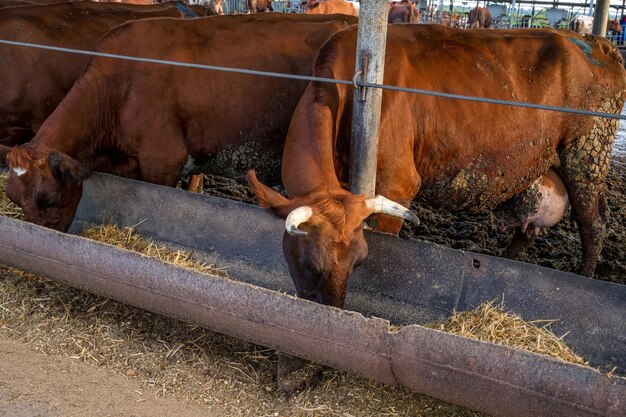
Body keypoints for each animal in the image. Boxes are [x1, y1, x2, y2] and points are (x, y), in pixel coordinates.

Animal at [247, 23, 624, 316]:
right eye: (310, 265)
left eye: (360, 262)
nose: (334, 314)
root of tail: (596, 42)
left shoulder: (397, 183)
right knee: (530, 227)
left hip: (587, 152)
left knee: (593, 221)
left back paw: (585, 275)